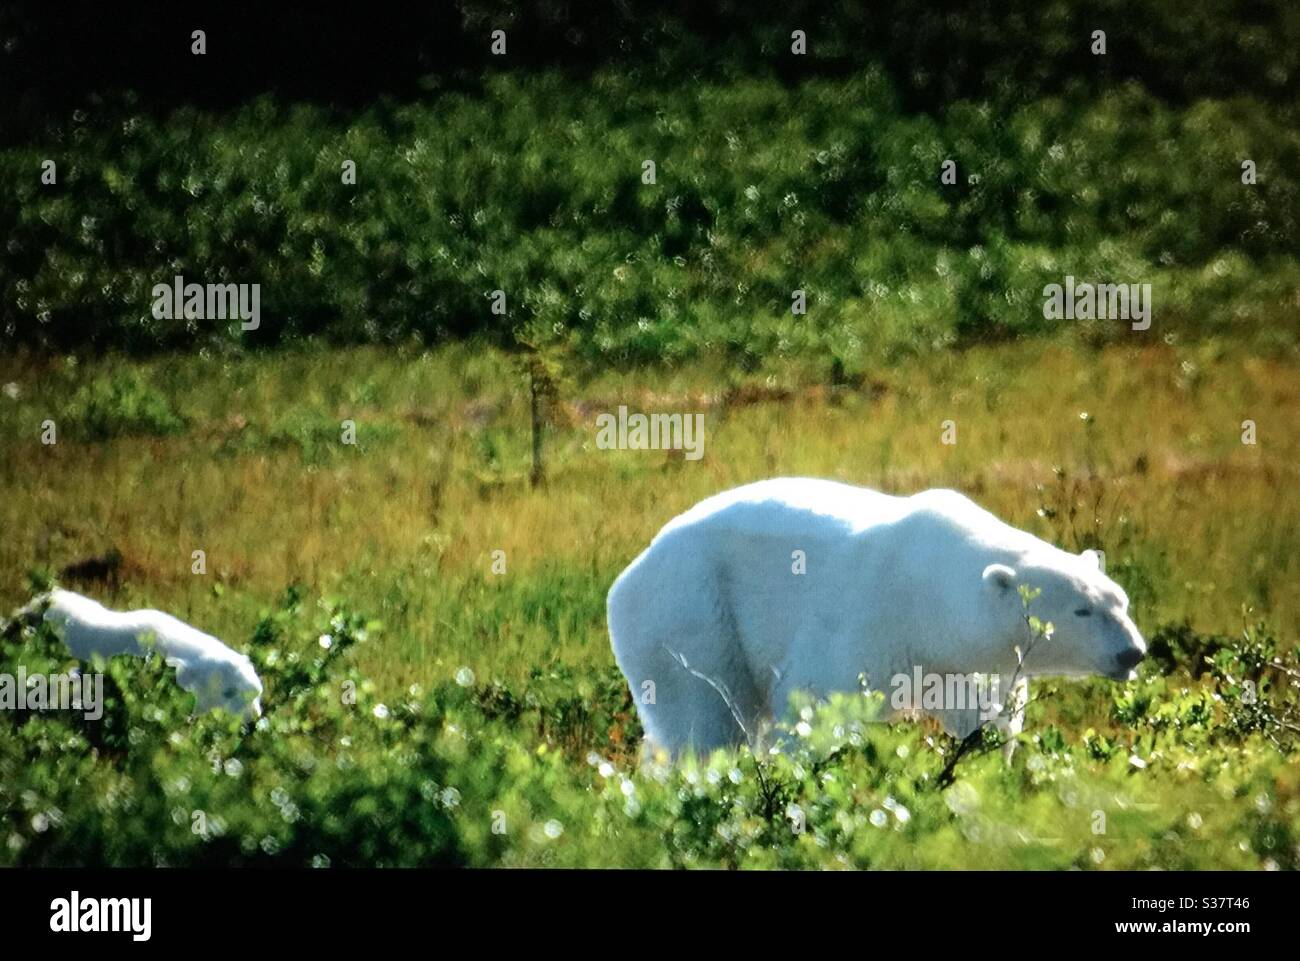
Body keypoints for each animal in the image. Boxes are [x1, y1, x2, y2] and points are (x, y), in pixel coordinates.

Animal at [606, 478, 1145, 758]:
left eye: (1120, 602)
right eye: (1082, 609)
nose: (1133, 653)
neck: (924, 593)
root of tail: (629, 573)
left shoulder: (962, 659)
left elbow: (985, 714)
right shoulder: (865, 616)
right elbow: (811, 703)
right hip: (691, 608)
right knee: (704, 717)